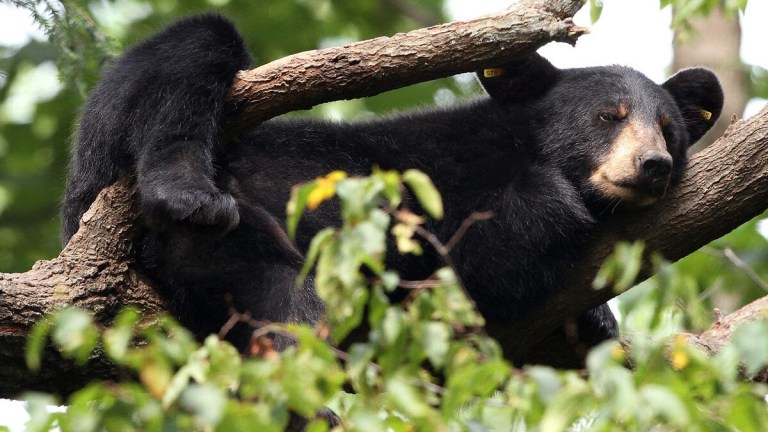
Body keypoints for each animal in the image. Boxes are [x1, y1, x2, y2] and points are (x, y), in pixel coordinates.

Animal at [61, 15, 723, 366]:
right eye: (607, 118)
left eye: (668, 128)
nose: (653, 164)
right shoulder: (447, 179)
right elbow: (476, 258)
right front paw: (554, 211)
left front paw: (595, 320)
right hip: (130, 156)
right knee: (194, 47)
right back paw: (189, 194)